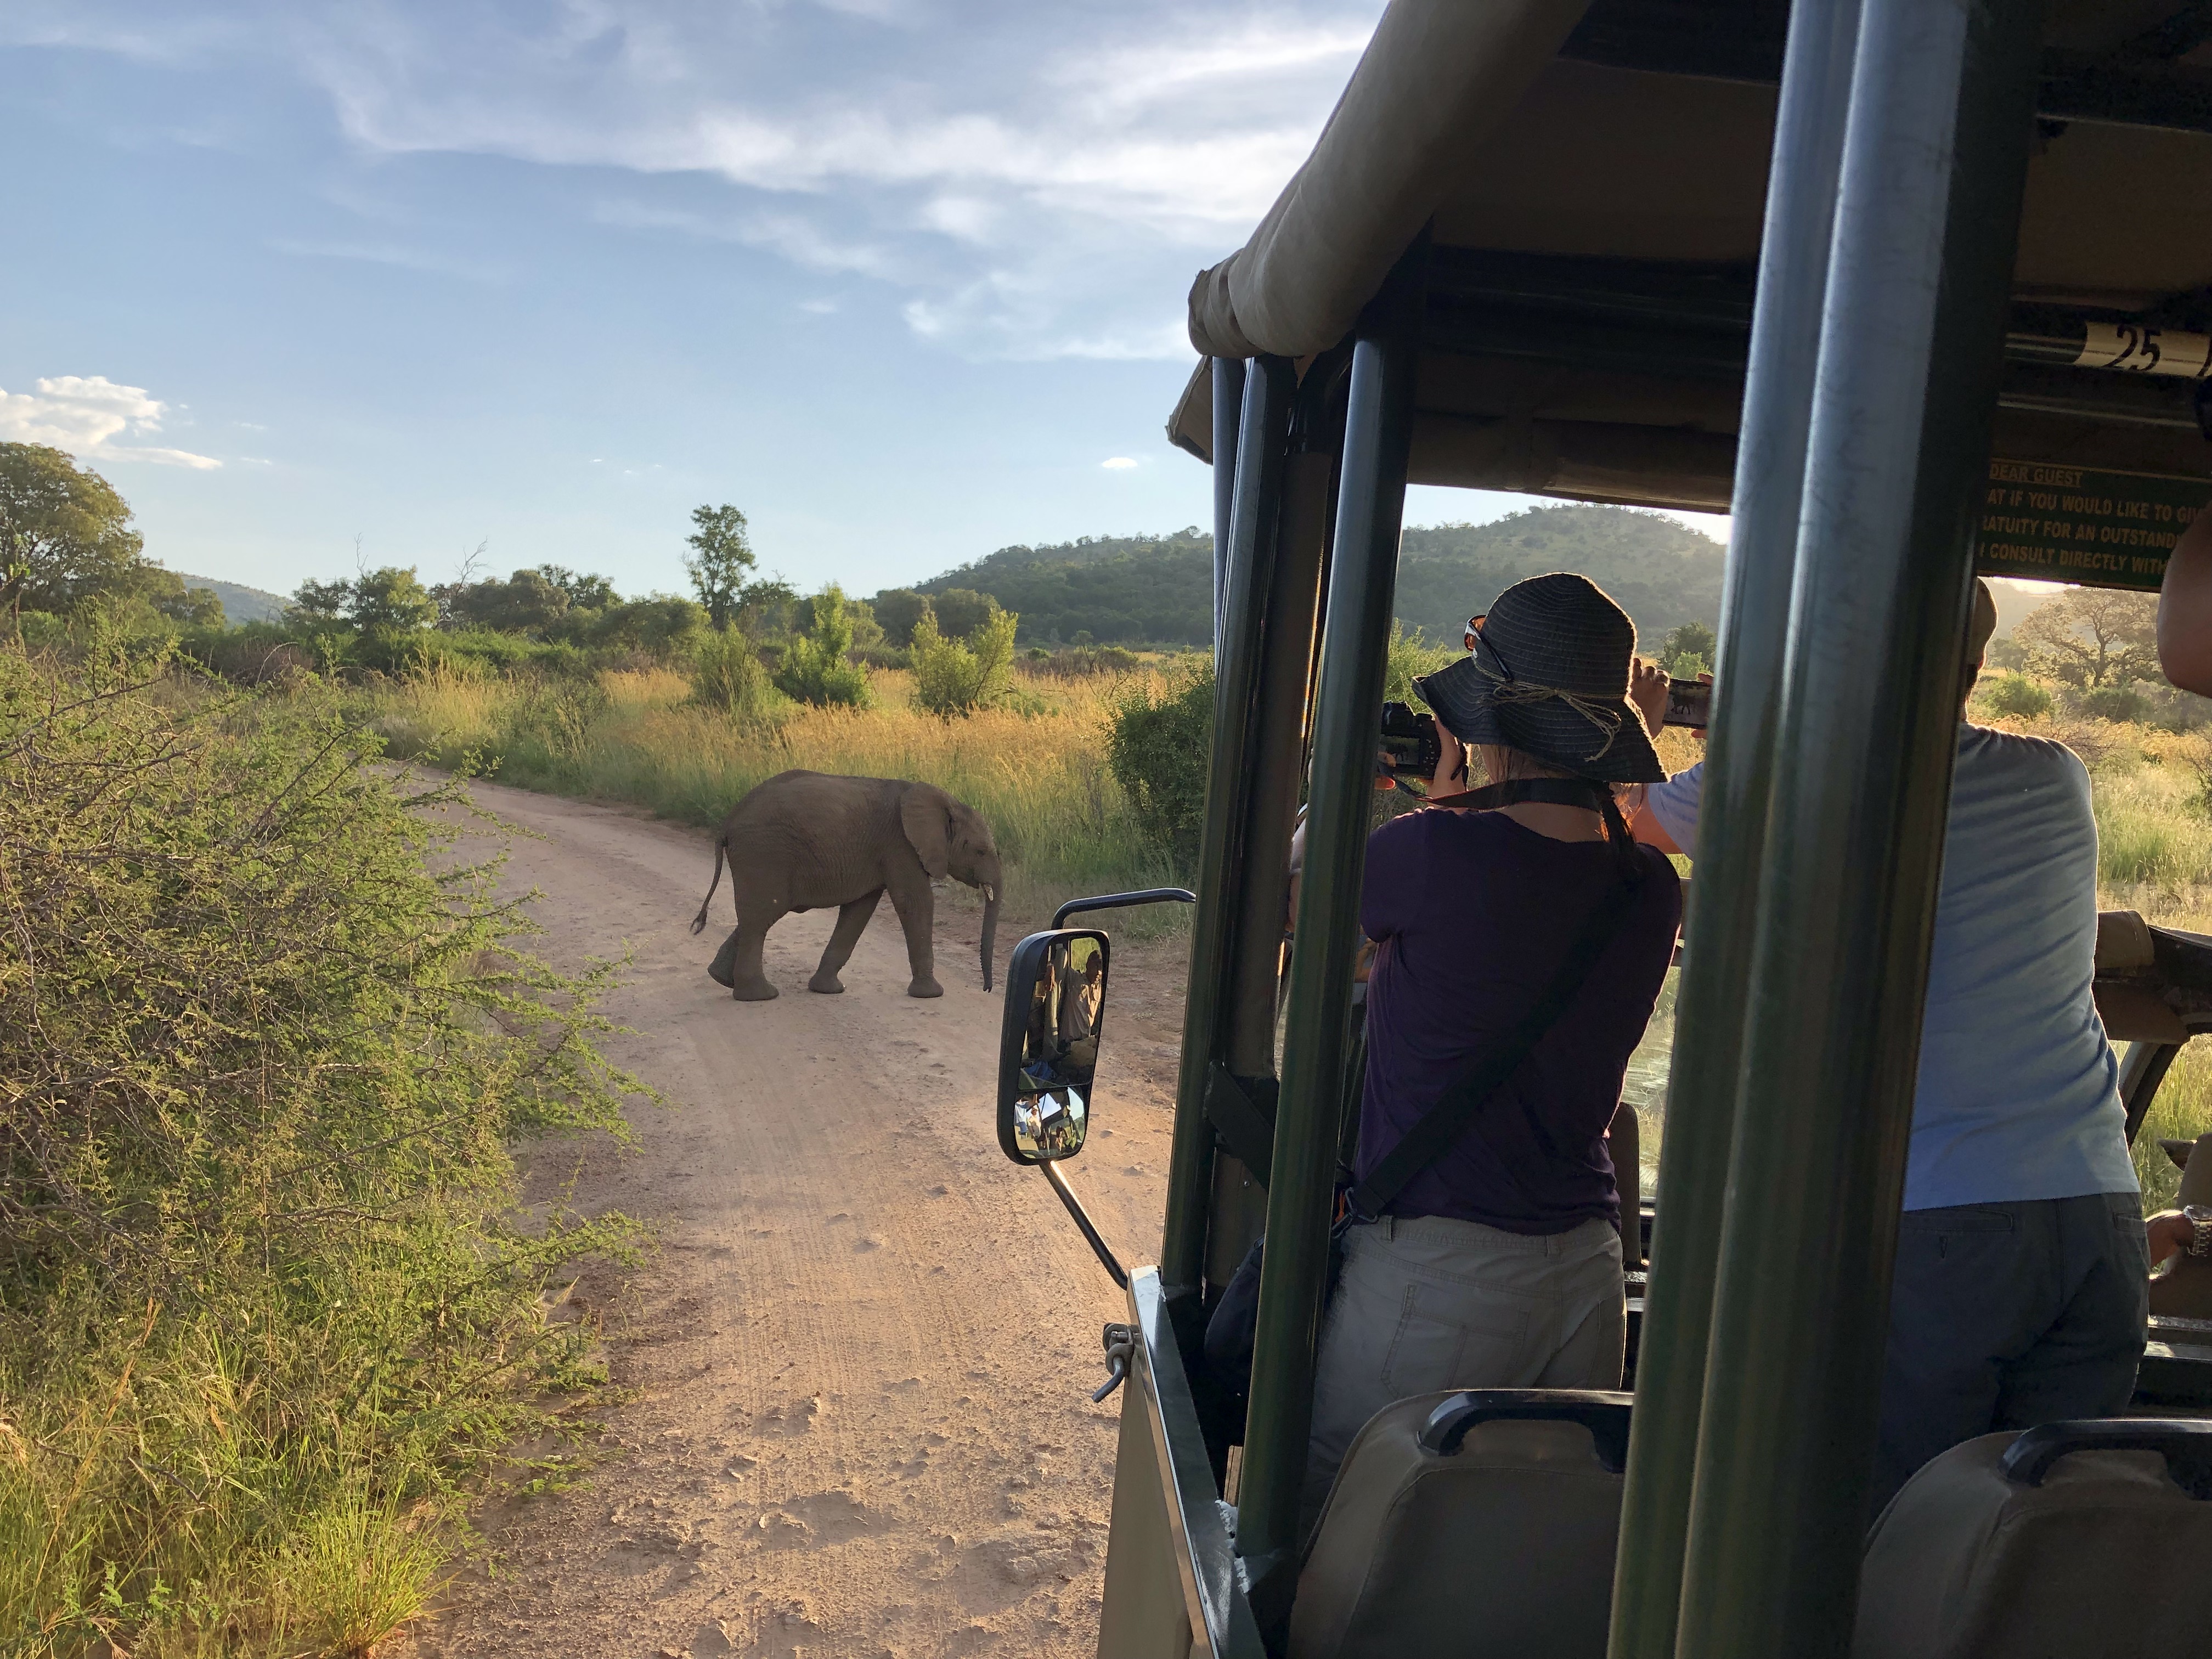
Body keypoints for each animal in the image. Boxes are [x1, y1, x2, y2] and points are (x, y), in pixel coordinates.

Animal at [690, 778, 1004, 1008]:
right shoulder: (900, 846)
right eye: (980, 851)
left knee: (756, 916)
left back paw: (721, 979)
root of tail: (728, 822)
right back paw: (759, 996)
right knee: (761, 917)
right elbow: (915, 904)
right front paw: (931, 994)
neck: (947, 802)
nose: (987, 989)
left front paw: (827, 990)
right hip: (765, 854)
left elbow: (859, 911)